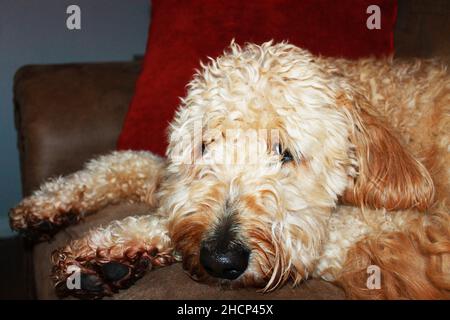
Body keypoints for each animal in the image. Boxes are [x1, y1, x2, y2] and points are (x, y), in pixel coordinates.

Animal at [8, 41, 448, 298]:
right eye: (206, 145)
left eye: (285, 153)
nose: (220, 258)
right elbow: (134, 163)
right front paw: (52, 201)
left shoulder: (418, 236)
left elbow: (316, 239)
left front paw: (116, 248)